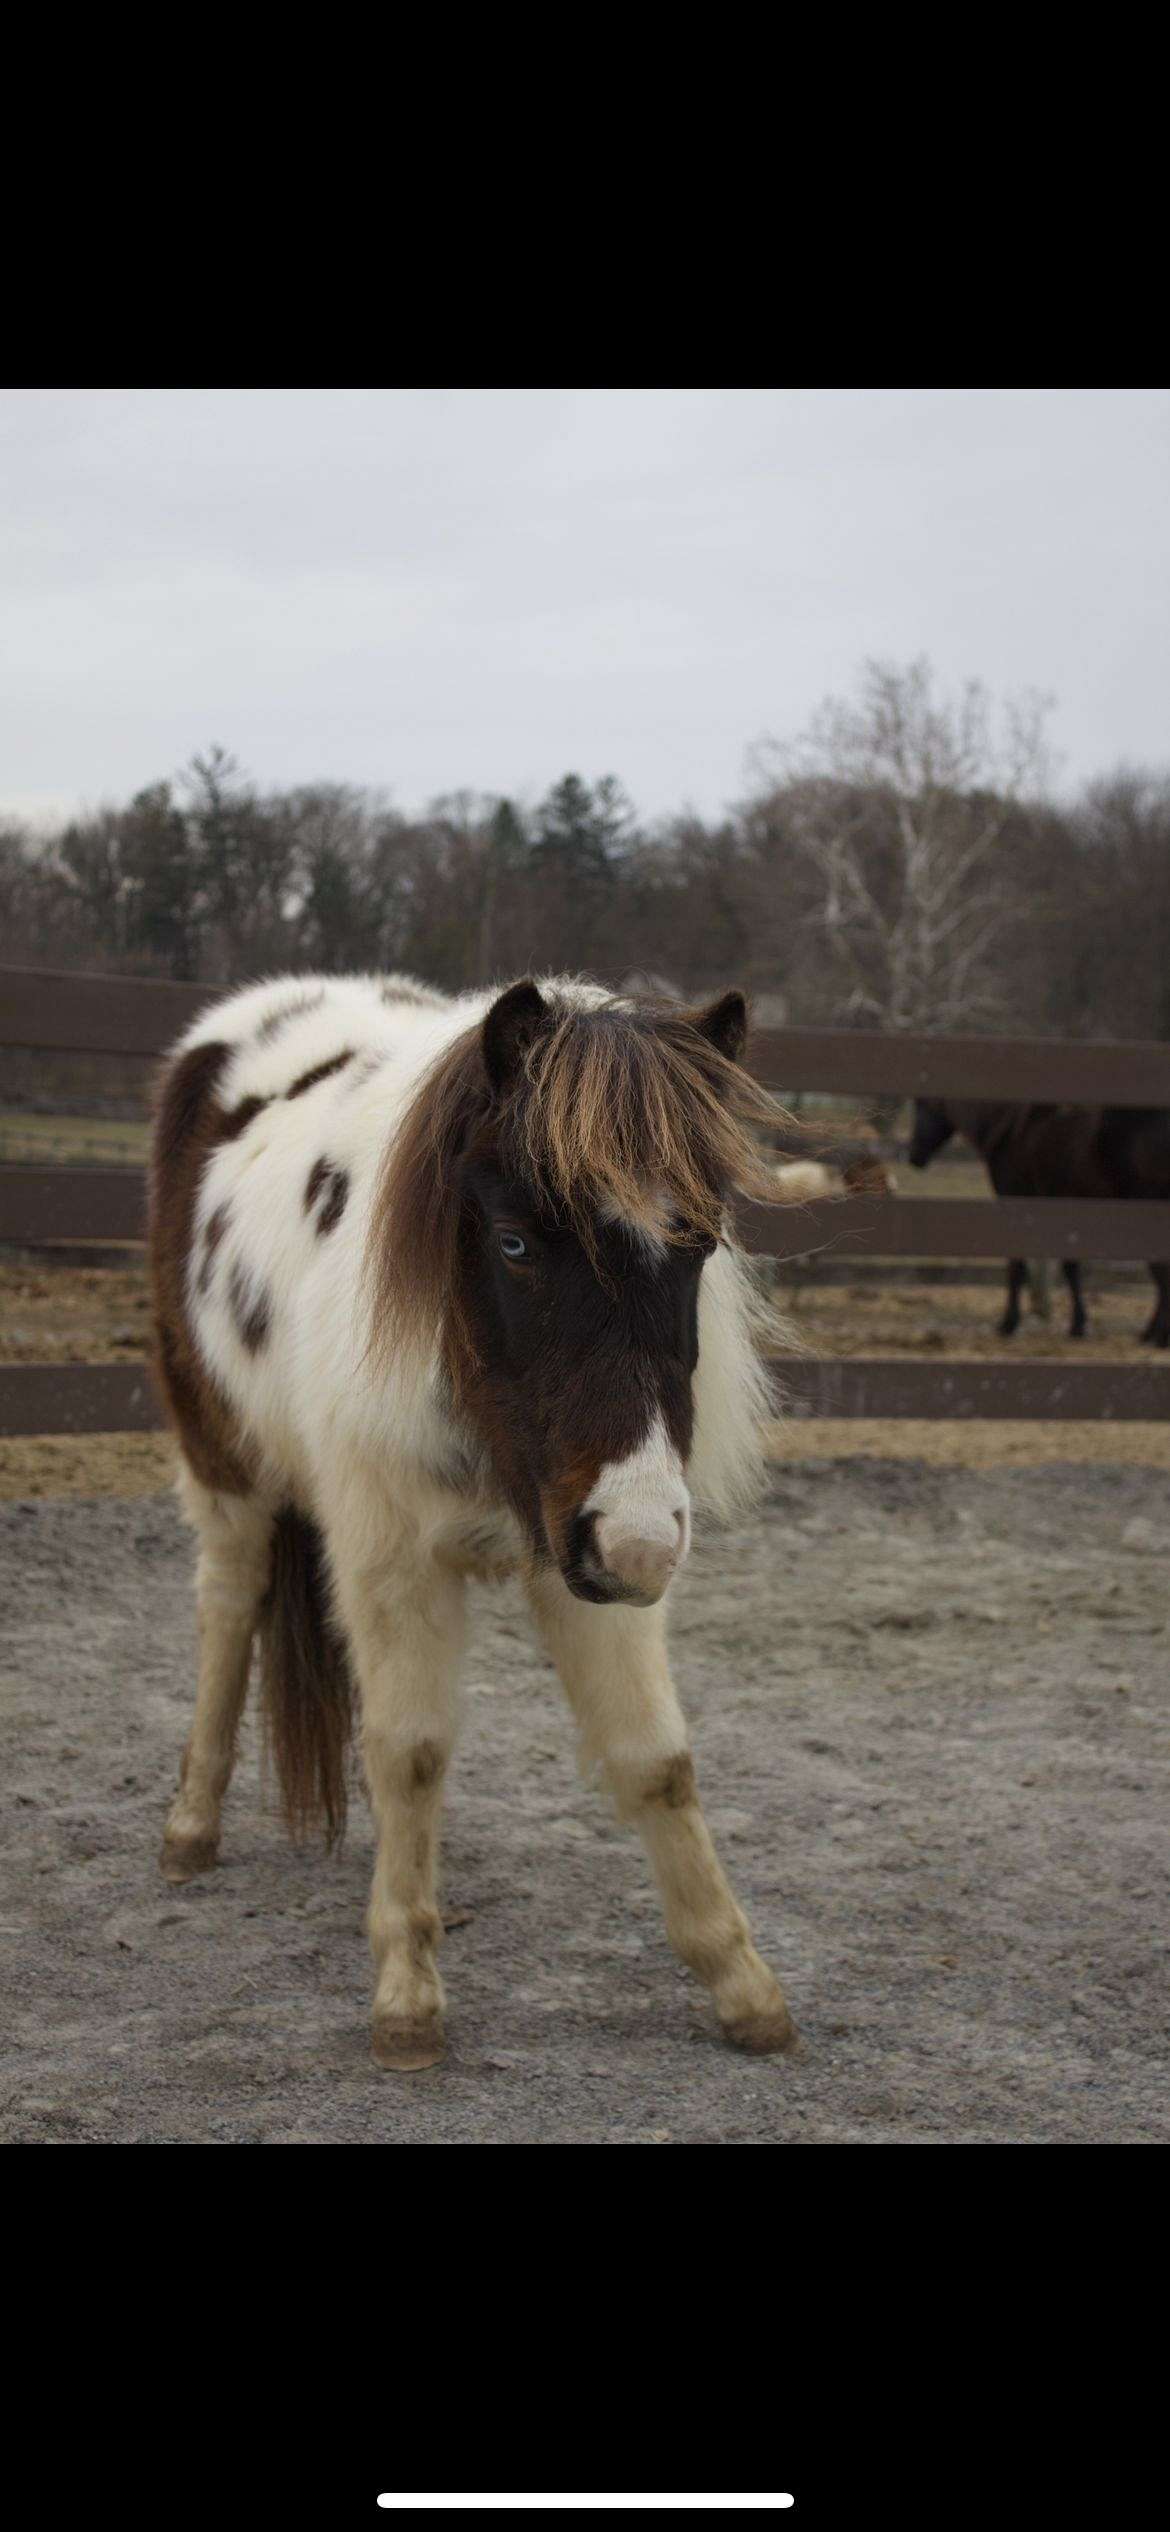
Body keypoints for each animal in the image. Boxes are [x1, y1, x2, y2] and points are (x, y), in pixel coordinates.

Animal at [149, 971, 799, 2071]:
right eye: (515, 1242)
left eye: (701, 1244)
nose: (643, 1543)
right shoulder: (395, 1559)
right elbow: (410, 1750)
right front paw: (408, 1996)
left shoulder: (583, 1559)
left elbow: (657, 1761)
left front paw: (740, 1984)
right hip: (225, 1463)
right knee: (229, 1605)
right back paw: (191, 1827)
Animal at [907, 1098, 1170, 1346]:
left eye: (921, 1104)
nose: (914, 1157)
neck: (1011, 1124)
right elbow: (1070, 1267)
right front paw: (1078, 1325)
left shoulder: (1014, 1199)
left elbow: (1017, 1266)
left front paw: (1009, 1323)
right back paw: (1151, 1333)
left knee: (1159, 1268)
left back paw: (1157, 1336)